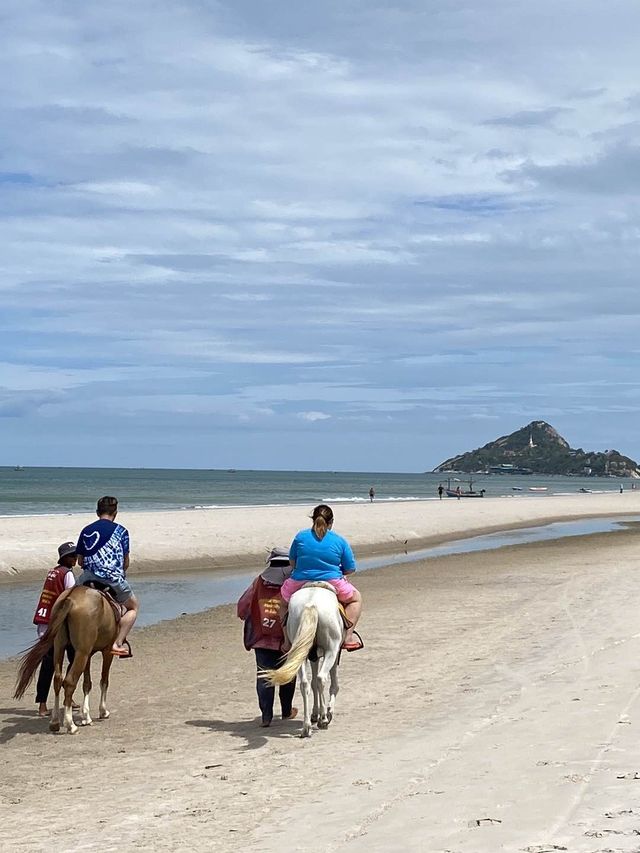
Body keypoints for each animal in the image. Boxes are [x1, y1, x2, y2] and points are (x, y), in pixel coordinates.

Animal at [15, 584, 119, 732]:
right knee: (69, 682)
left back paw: (55, 721)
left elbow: (87, 683)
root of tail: (70, 597)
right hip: (81, 653)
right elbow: (104, 680)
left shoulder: (87, 654)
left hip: (61, 647)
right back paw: (70, 724)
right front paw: (103, 711)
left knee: (58, 680)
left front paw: (86, 717)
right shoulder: (107, 651)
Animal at [260, 584, 344, 736]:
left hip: (300, 653)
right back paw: (323, 720)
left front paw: (315, 714)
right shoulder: (335, 653)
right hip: (331, 649)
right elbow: (333, 685)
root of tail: (311, 604)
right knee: (321, 678)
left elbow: (313, 684)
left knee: (305, 684)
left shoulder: (313, 656)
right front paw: (327, 712)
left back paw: (307, 727)